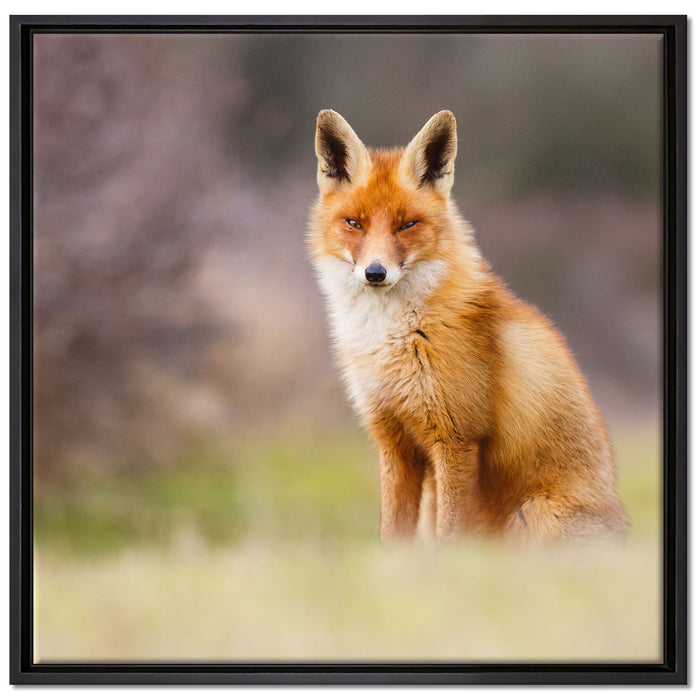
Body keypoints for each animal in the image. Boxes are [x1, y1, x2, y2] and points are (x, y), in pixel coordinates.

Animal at [308, 109, 627, 544]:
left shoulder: (456, 439)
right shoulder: (393, 441)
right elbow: (392, 535)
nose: (375, 273)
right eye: (354, 223)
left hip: (533, 514)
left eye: (407, 225)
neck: (393, 338)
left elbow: (450, 537)